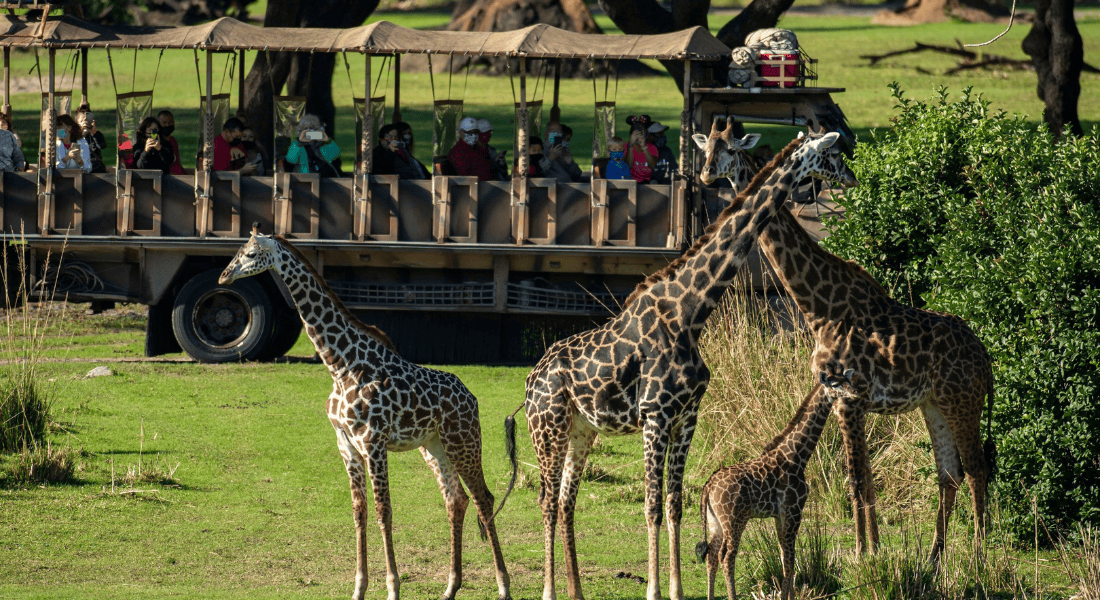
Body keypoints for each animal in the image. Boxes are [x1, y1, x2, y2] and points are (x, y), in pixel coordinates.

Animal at [219, 230, 511, 600]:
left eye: (251, 253)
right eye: (238, 250)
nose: (224, 277)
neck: (340, 366)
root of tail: (471, 398)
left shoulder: (373, 441)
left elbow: (384, 511)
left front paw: (393, 588)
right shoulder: (346, 443)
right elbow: (360, 511)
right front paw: (359, 588)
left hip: (464, 441)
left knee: (483, 498)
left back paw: (503, 585)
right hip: (434, 445)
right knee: (455, 499)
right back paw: (450, 587)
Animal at [696, 322, 867, 600]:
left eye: (847, 380)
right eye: (834, 383)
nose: (855, 394)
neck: (797, 455)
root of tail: (708, 487)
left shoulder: (780, 515)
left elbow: (784, 557)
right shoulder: (793, 510)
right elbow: (790, 559)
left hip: (714, 522)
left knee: (711, 555)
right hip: (735, 519)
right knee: (726, 556)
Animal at [745, 139, 997, 565]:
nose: (708, 172)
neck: (819, 307)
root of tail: (986, 359)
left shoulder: (850, 398)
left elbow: (859, 477)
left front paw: (865, 553)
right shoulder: (844, 400)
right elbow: (861, 478)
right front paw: (869, 551)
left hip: (962, 401)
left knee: (976, 468)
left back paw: (979, 556)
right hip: (934, 404)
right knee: (950, 473)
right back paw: (934, 558)